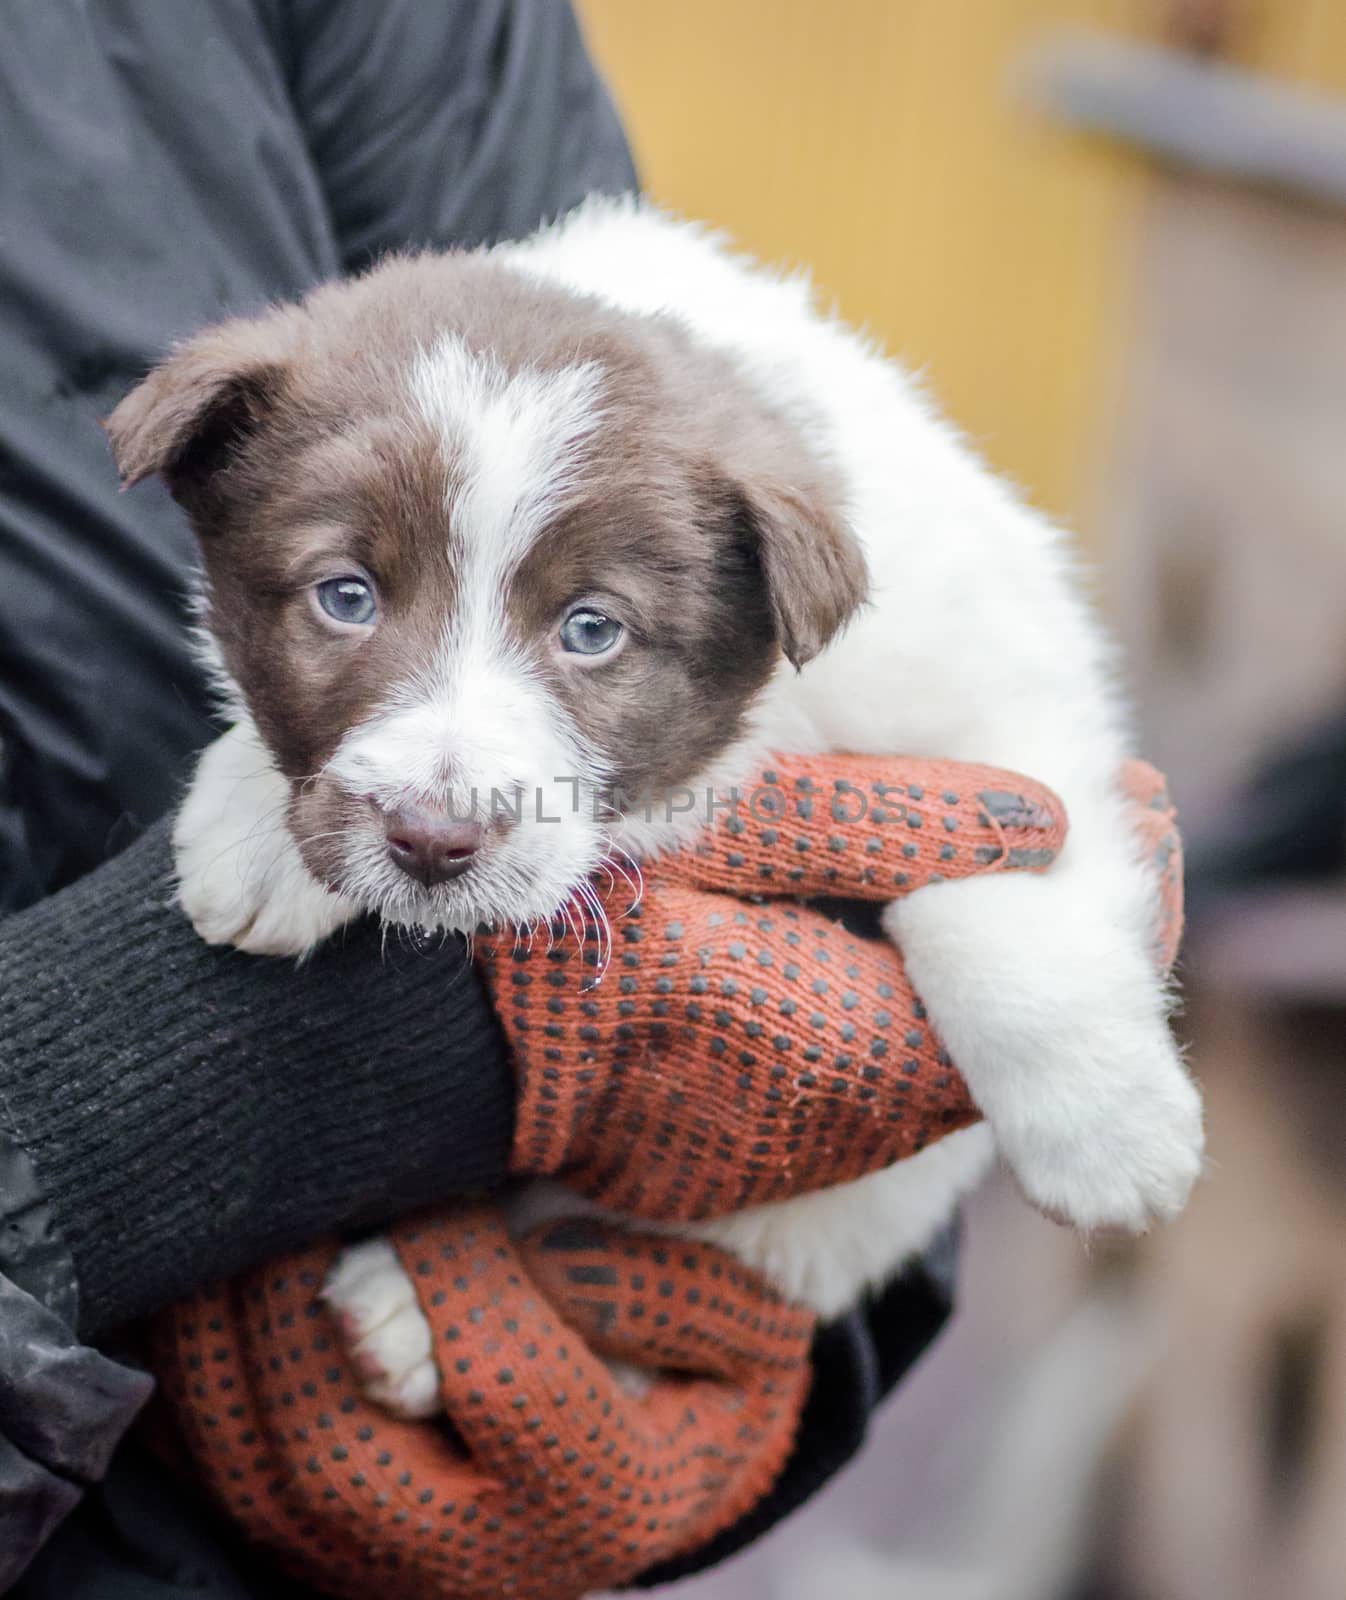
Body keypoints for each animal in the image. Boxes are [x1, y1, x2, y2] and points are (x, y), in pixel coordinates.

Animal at [104, 196, 1197, 1414]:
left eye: (592, 628)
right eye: (346, 596)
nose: (432, 842)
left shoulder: (1009, 700)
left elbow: (999, 882)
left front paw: (1103, 1129)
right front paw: (255, 834)